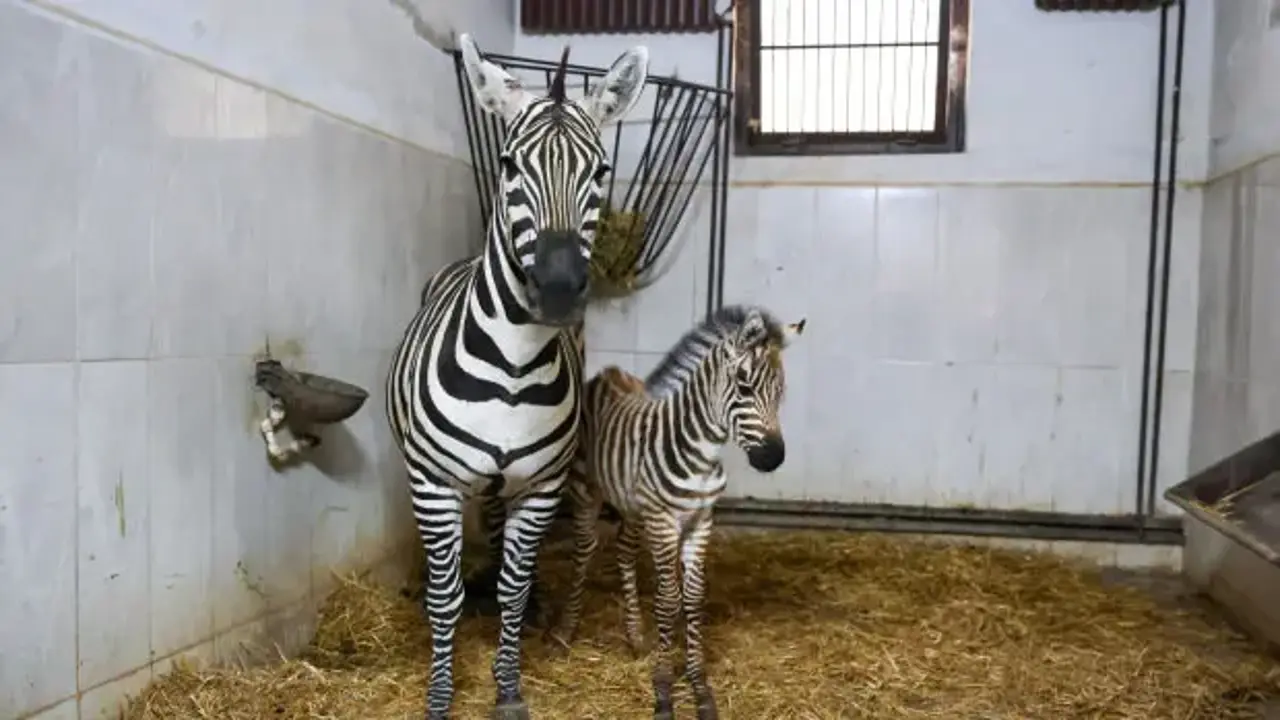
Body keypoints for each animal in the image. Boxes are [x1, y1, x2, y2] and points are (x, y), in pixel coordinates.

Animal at [385, 33, 649, 720]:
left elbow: (513, 584)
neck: (511, 368)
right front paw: (440, 698)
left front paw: (507, 688)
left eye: (600, 172)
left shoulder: (540, 488)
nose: (557, 289)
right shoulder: (433, 484)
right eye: (507, 165)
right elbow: (445, 595)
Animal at [548, 305, 806, 720]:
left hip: (633, 505)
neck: (701, 454)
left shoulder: (701, 521)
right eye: (744, 387)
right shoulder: (665, 522)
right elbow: (669, 599)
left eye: (780, 392)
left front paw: (699, 684)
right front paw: (664, 686)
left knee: (623, 550)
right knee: (583, 553)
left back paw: (634, 635)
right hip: (587, 490)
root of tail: (607, 373)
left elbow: (694, 596)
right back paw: (564, 632)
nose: (773, 458)